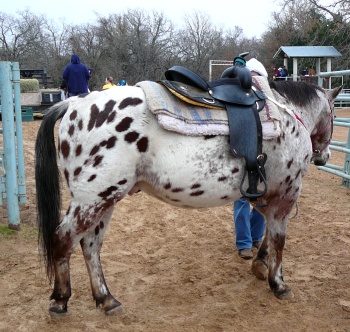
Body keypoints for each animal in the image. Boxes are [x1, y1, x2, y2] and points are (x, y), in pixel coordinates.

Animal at [34, 79, 340, 316]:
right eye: (334, 115)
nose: (324, 157)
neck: (287, 117)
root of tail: (74, 104)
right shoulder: (286, 194)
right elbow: (278, 240)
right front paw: (278, 283)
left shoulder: (268, 195)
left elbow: (266, 232)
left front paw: (260, 263)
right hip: (93, 199)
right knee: (62, 239)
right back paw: (60, 300)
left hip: (105, 200)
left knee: (90, 246)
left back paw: (106, 299)